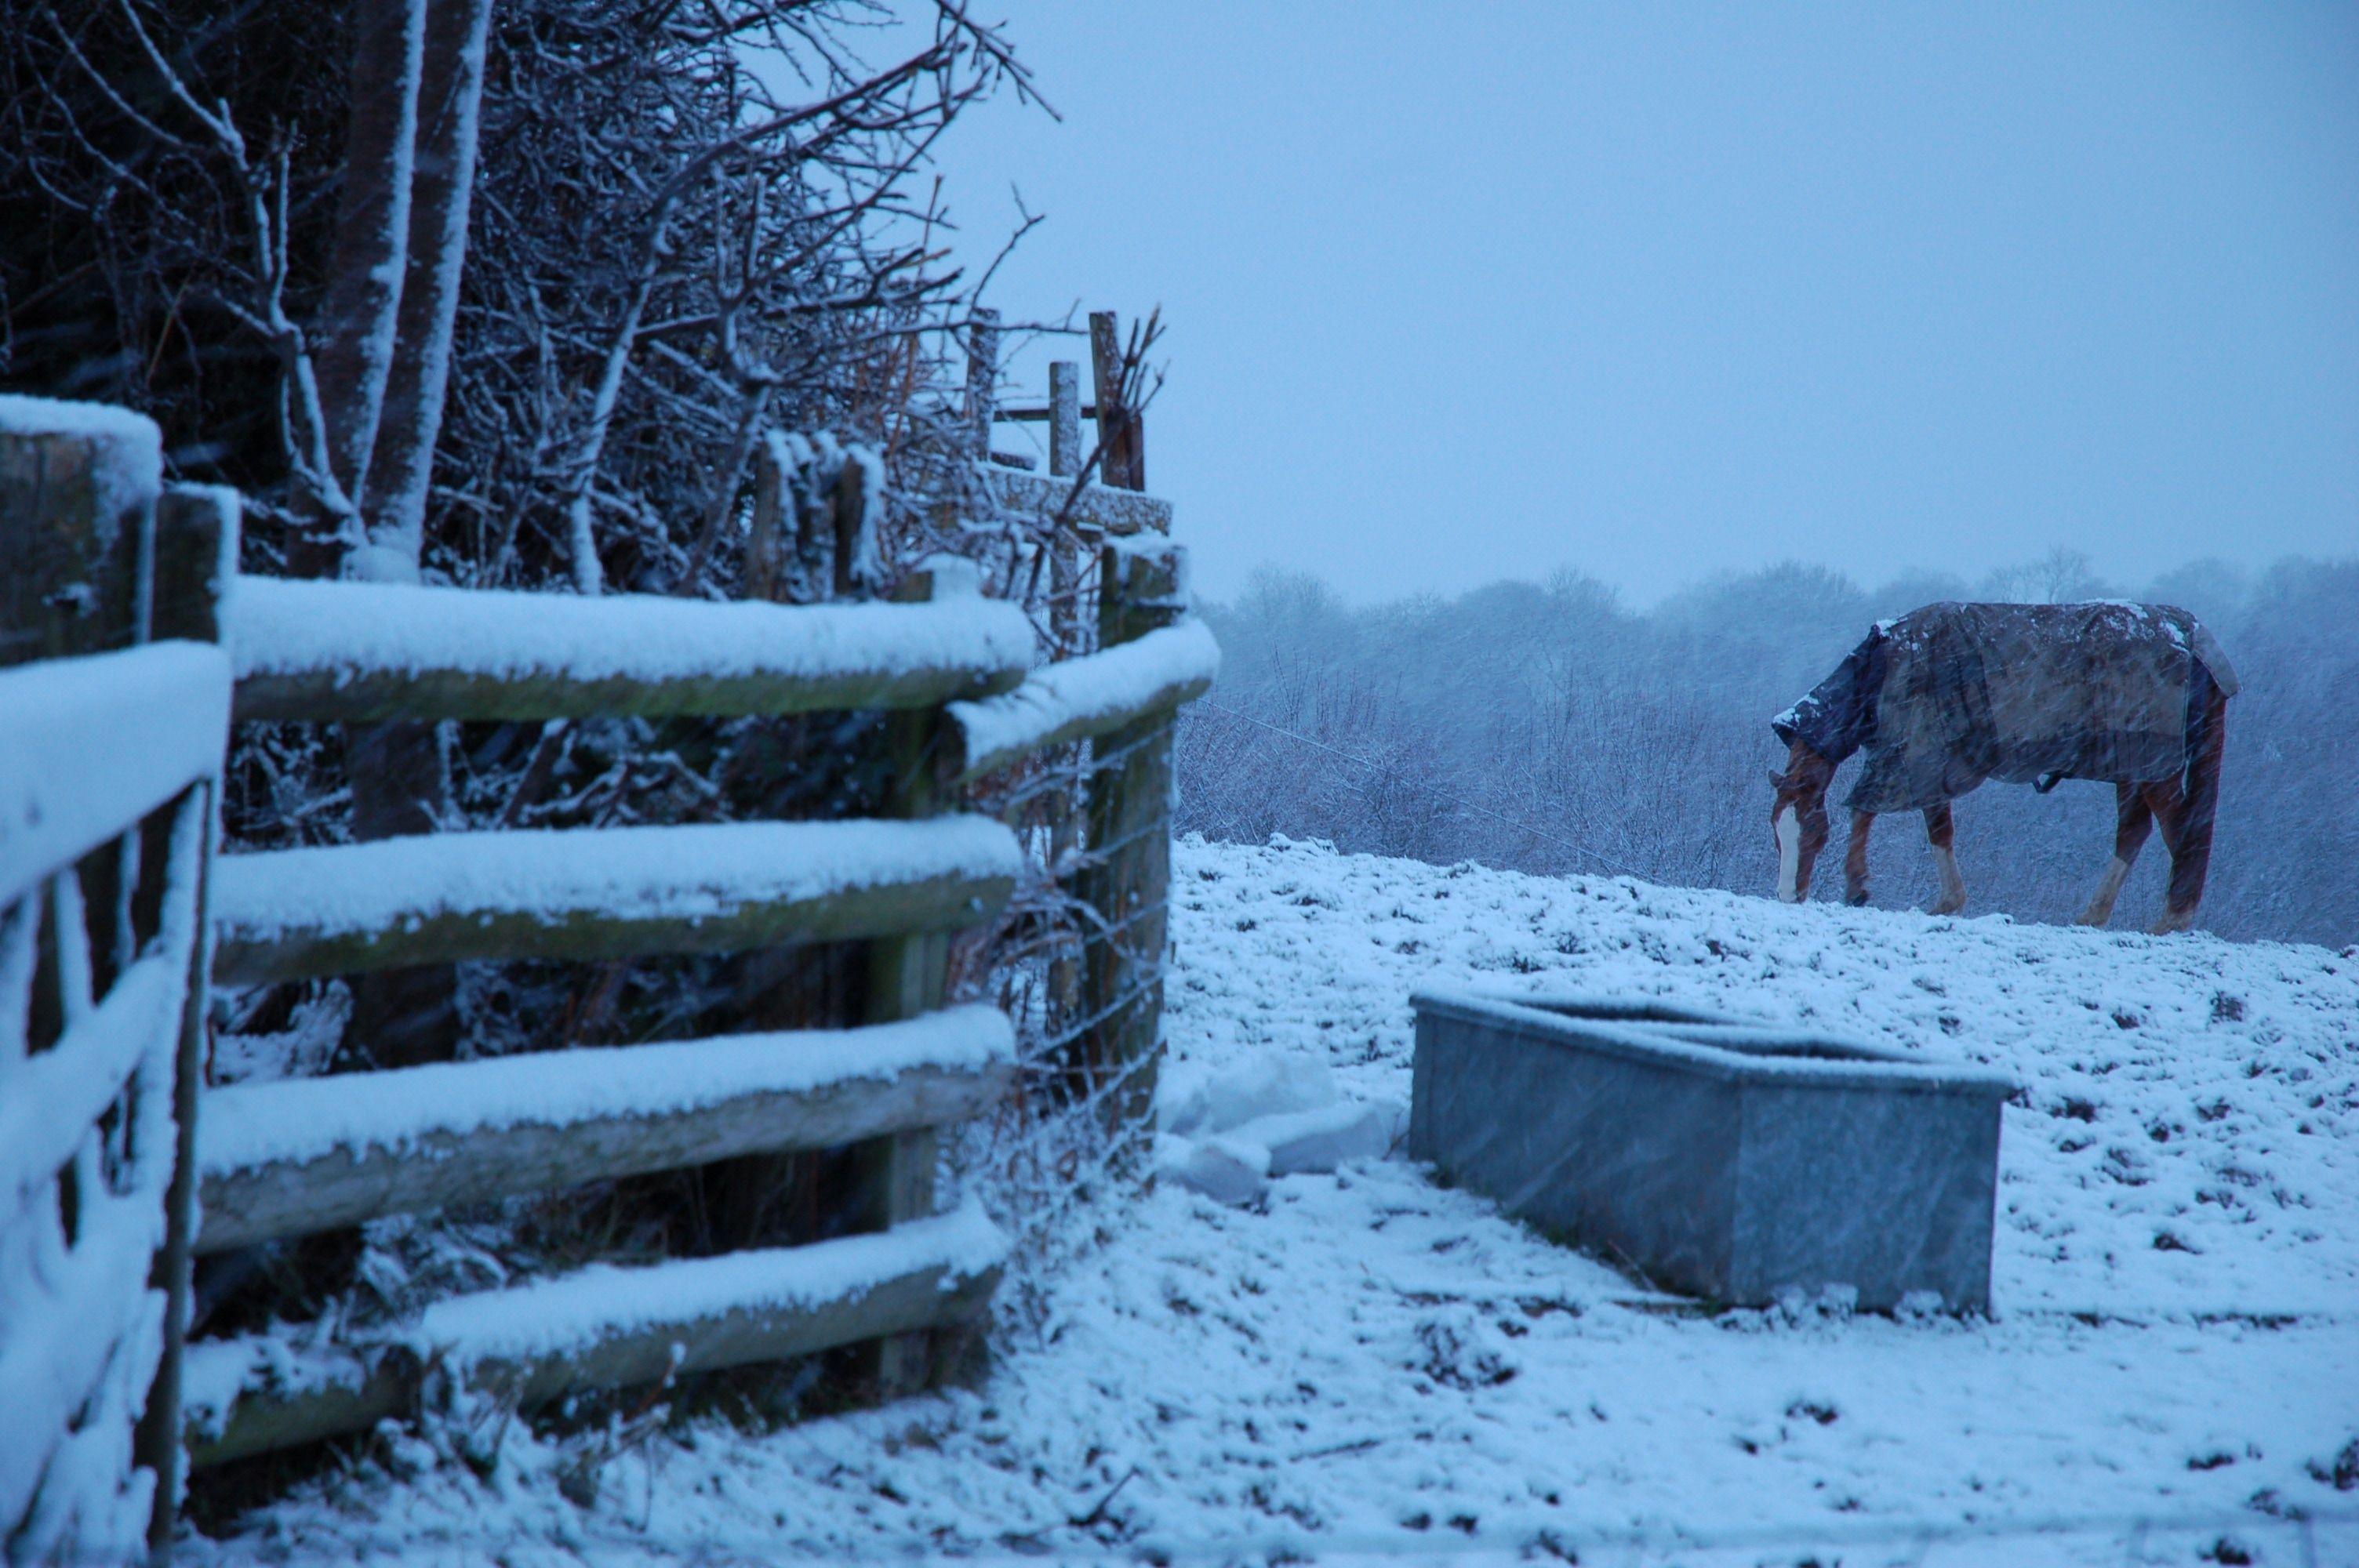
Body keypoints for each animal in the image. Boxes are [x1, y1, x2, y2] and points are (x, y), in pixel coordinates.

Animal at [1767, 601, 2236, 933]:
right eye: (1776, 834)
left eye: (1814, 831)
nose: (1788, 896)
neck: (1880, 669)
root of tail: (2194, 641)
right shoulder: (1929, 763)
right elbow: (1938, 829)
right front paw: (1948, 902)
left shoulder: (1913, 754)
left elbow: (1868, 809)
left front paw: (1858, 886)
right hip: (2133, 763)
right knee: (2135, 831)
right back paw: (2095, 915)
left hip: (2156, 764)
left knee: (2181, 830)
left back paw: (2173, 917)